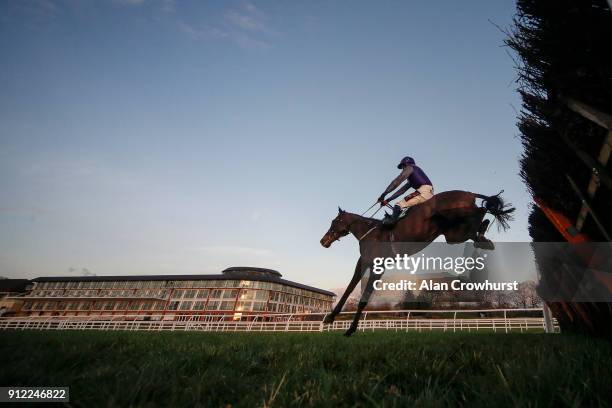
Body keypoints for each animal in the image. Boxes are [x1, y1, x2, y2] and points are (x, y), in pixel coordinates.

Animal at [320, 190, 516, 336]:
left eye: (334, 221)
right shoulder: (363, 262)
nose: (323, 241)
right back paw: (484, 237)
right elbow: (348, 289)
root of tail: (468, 193)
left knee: (480, 213)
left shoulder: (377, 265)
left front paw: (351, 329)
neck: (370, 232)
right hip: (453, 234)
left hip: (455, 225)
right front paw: (330, 318)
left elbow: (364, 297)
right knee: (477, 225)